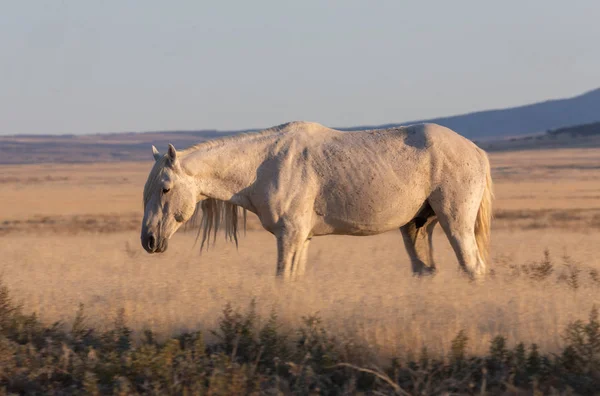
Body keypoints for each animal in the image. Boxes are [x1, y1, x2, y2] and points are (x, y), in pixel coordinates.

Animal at [142, 122, 492, 280]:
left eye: (165, 189)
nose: (149, 240)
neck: (265, 164)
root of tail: (477, 150)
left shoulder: (289, 236)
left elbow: (283, 278)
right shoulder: (302, 238)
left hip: (456, 225)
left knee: (473, 267)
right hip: (417, 227)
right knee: (425, 270)